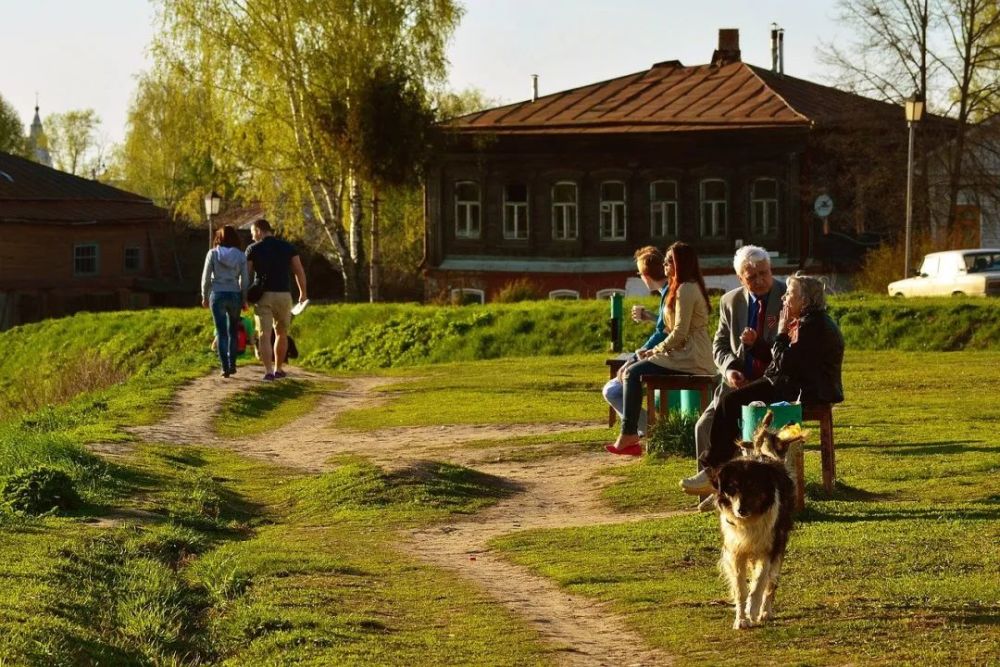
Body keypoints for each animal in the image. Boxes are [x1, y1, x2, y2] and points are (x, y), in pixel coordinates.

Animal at [712, 410, 796, 628]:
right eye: (731, 488)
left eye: (753, 487)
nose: (740, 510)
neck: (750, 521)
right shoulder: (736, 551)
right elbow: (741, 589)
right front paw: (741, 619)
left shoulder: (769, 548)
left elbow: (758, 584)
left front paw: (753, 611)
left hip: (779, 544)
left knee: (771, 583)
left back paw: (765, 612)